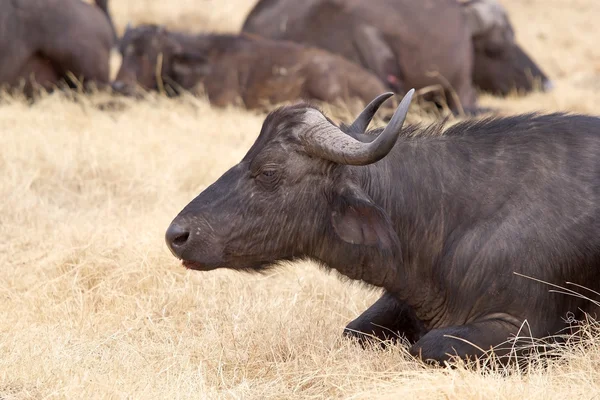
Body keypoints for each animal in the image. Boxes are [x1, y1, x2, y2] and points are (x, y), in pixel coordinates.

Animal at [166, 91, 600, 366]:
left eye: (268, 171)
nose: (177, 235)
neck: (451, 216)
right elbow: (352, 331)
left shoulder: (527, 330)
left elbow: (428, 346)